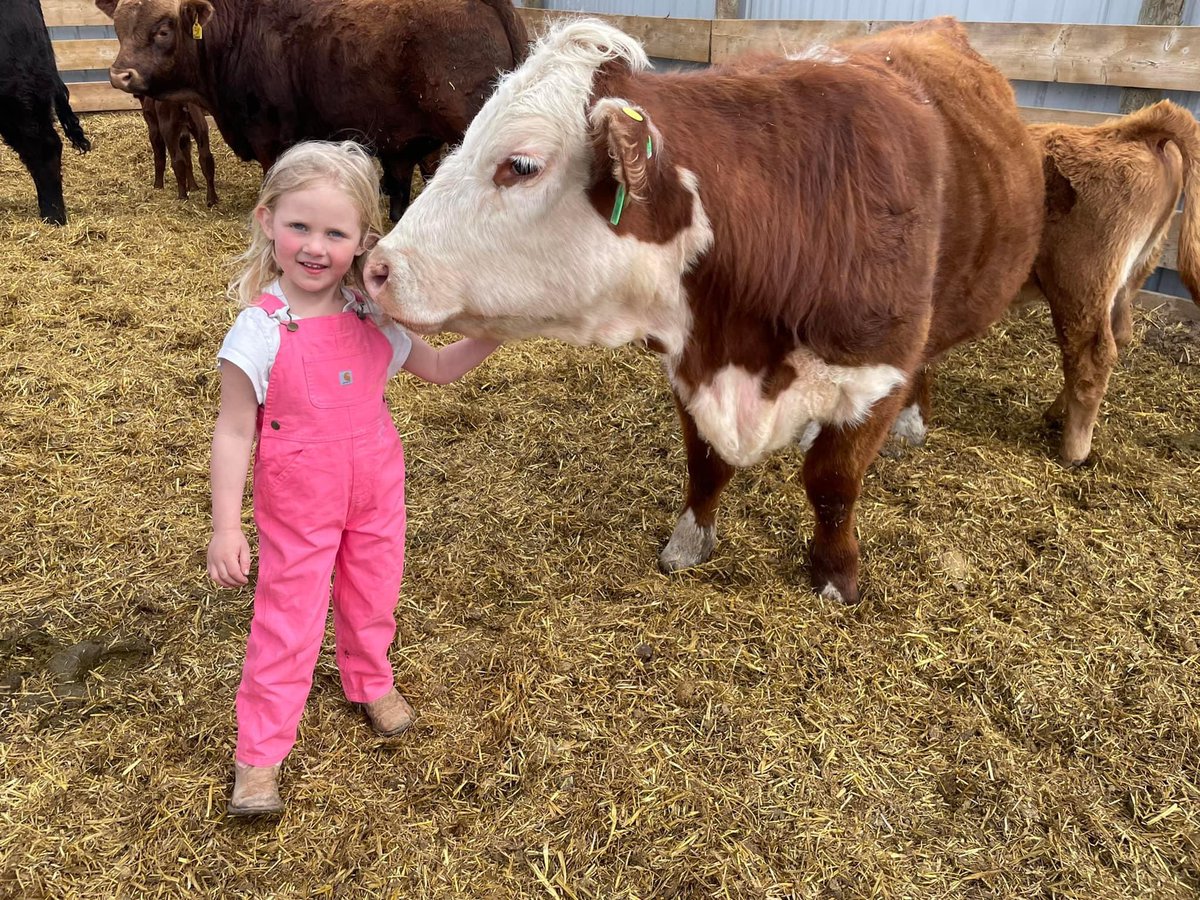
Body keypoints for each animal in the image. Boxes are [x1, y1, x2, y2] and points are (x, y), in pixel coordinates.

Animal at [363, 17, 1044, 604]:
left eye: (521, 164)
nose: (377, 267)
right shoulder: (693, 364)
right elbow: (706, 462)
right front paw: (689, 542)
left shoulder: (878, 372)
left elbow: (833, 482)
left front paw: (835, 574)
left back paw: (911, 425)